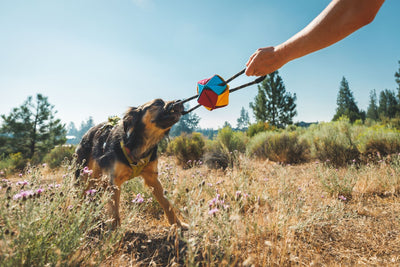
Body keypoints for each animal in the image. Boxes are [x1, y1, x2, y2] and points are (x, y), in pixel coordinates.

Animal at [75, 99, 188, 229]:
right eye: (157, 102)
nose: (179, 102)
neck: (140, 144)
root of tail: (86, 133)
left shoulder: (152, 178)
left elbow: (166, 203)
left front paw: (178, 224)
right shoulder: (114, 181)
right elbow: (115, 210)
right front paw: (115, 232)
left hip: (99, 180)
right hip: (84, 176)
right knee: (80, 196)